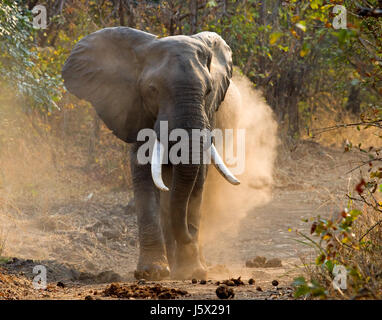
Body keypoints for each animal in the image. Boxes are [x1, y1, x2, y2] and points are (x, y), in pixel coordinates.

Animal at [62, 26, 242, 278]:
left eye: (208, 91)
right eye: (152, 89)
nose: (190, 235)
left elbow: (198, 178)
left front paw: (192, 272)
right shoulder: (134, 108)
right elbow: (144, 171)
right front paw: (152, 272)